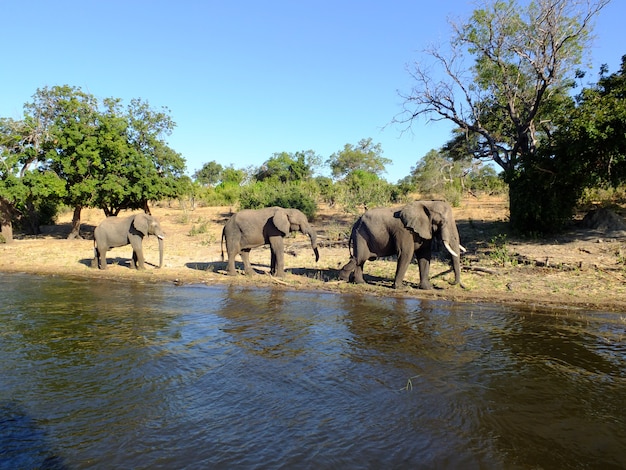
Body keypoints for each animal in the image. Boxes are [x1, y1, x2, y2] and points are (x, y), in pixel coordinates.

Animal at [336, 199, 464, 288]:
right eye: (442, 222)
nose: (450, 283)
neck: (426, 203)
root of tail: (355, 223)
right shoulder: (404, 230)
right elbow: (406, 253)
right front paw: (400, 288)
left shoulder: (425, 231)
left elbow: (425, 255)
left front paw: (427, 288)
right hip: (361, 235)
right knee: (359, 258)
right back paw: (343, 279)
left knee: (360, 260)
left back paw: (360, 283)